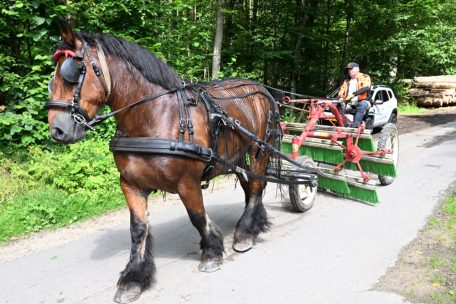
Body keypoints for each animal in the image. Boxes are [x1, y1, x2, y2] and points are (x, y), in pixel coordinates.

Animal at [46, 22, 282, 304]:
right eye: (53, 78)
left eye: (72, 71)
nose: (57, 130)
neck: (154, 117)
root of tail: (262, 89)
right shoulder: (130, 184)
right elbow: (138, 229)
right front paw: (133, 278)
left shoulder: (187, 183)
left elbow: (197, 217)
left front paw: (212, 252)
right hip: (235, 158)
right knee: (251, 188)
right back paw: (254, 223)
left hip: (259, 151)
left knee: (256, 187)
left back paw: (245, 233)